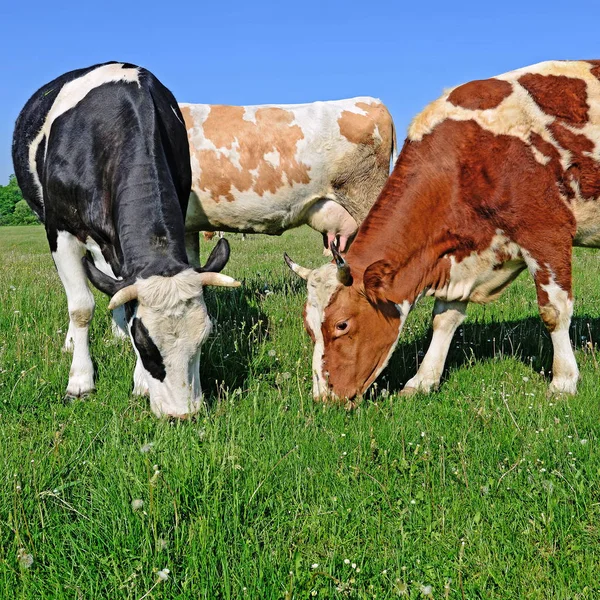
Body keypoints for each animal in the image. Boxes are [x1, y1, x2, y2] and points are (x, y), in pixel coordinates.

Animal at [11, 61, 239, 418]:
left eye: (204, 337)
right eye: (144, 343)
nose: (181, 414)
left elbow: (122, 295)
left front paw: (140, 381)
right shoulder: (59, 230)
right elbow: (81, 307)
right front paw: (80, 382)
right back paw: (72, 343)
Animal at [284, 59, 600, 404]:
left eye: (342, 325)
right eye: (309, 328)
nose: (323, 397)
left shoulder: (546, 232)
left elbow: (553, 310)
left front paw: (563, 381)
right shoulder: (456, 255)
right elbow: (444, 318)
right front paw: (423, 380)